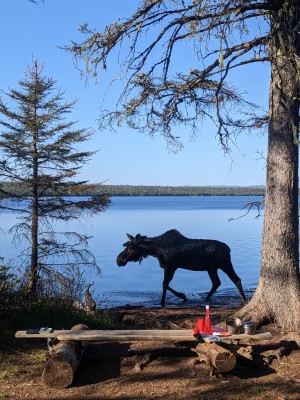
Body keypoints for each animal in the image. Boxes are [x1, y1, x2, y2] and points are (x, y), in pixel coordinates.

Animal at [116, 228, 247, 306]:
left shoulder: (170, 266)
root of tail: (228, 249)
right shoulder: (171, 267)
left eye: (130, 247)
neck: (155, 250)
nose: (118, 260)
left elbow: (164, 284)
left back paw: (244, 300)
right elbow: (166, 284)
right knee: (216, 282)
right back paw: (205, 299)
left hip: (225, 264)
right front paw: (183, 296)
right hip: (211, 268)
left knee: (236, 279)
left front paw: (163, 302)